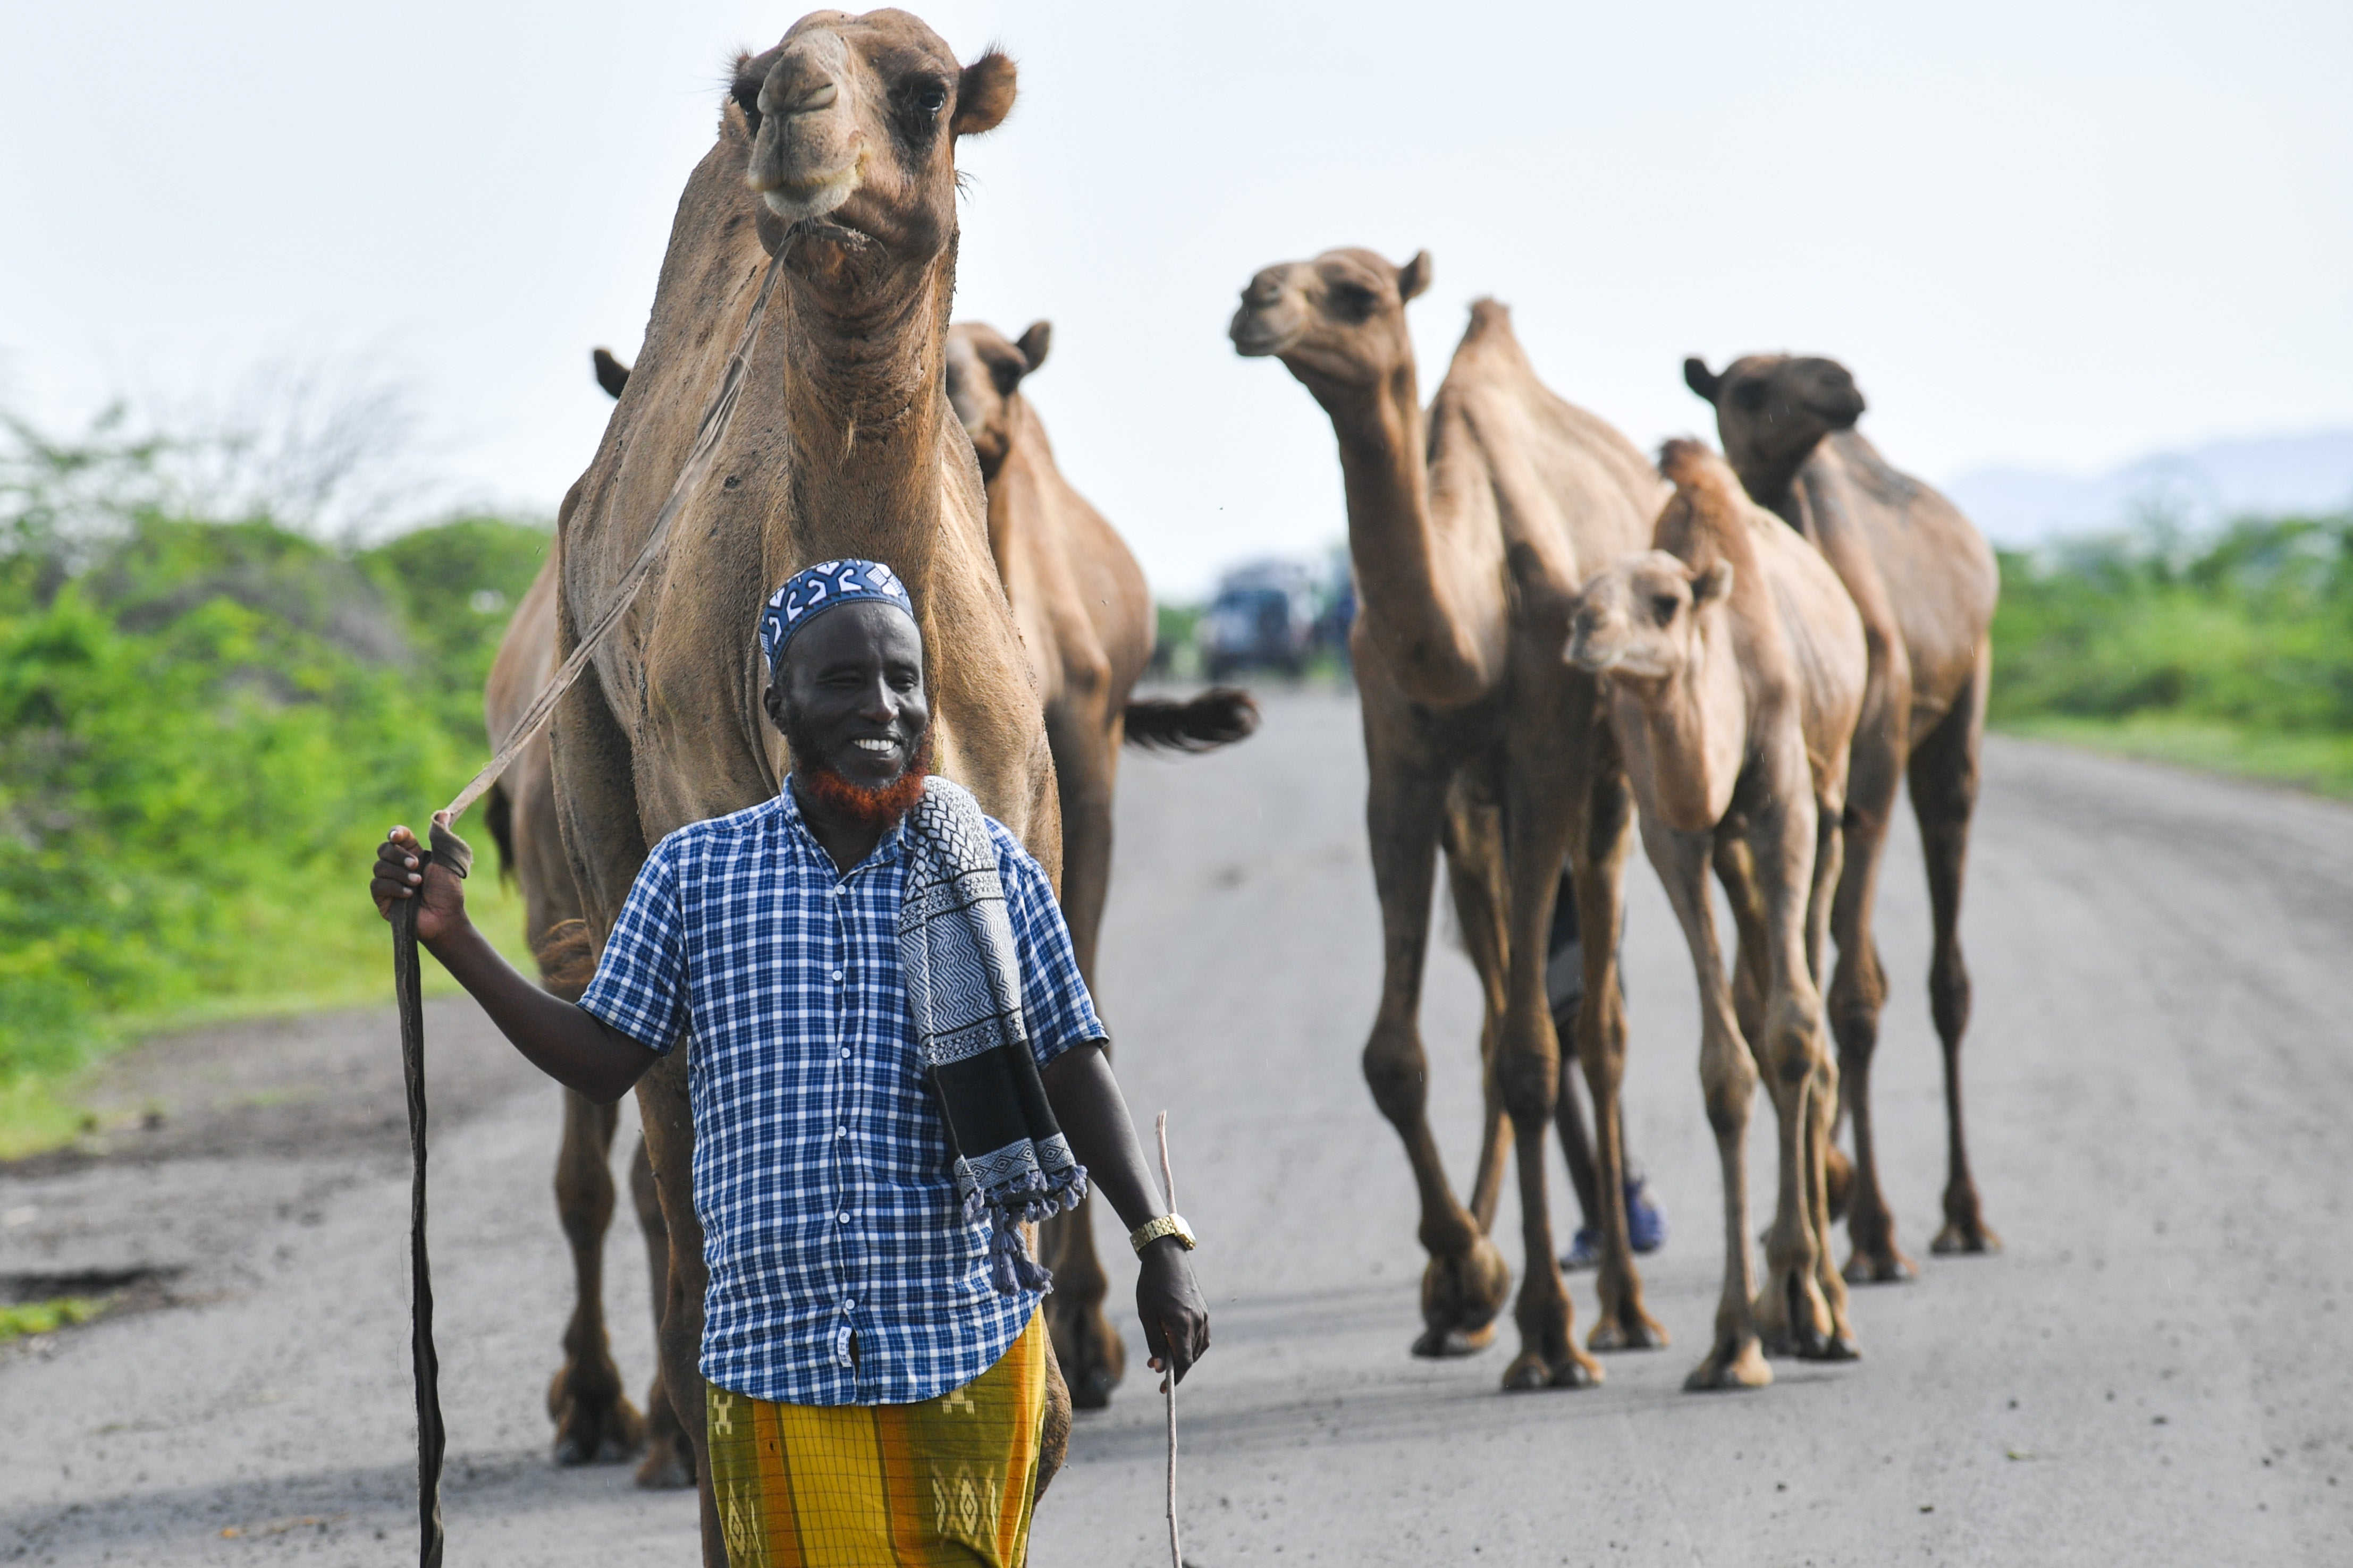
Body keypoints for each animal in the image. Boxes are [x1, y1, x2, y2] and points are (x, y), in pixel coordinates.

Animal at [1232, 249, 1670, 1389]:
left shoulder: (1546, 757)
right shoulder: (1403, 769)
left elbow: (1531, 1057)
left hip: (1608, 786)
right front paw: (1465, 1280)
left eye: (1359, 293)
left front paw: (1550, 1335)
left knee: (1597, 1028)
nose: (1256, 300)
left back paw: (1624, 1310)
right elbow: (1398, 1057)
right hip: (1475, 819)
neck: (1469, 621)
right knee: (1494, 1014)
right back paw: (1475, 1306)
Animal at [1563, 440, 1866, 1388]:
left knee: (1810, 1029)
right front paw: (1733, 1337)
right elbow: (1725, 1067)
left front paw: (1806, 1306)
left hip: (1829, 801)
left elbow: (1794, 1033)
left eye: (1663, 602)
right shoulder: (1673, 834)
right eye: (1586, 589)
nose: (1582, 627)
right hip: (1729, 858)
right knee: (1758, 1006)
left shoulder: (1786, 812)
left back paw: (1823, 1299)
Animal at [1683, 355, 2000, 1281]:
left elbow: (1849, 999)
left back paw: (1958, 1215)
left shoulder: (1869, 767)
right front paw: (1818, 1195)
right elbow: (1763, 995)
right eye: (1745, 387)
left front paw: (1870, 1230)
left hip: (1956, 712)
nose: (1840, 383)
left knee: (1938, 973)